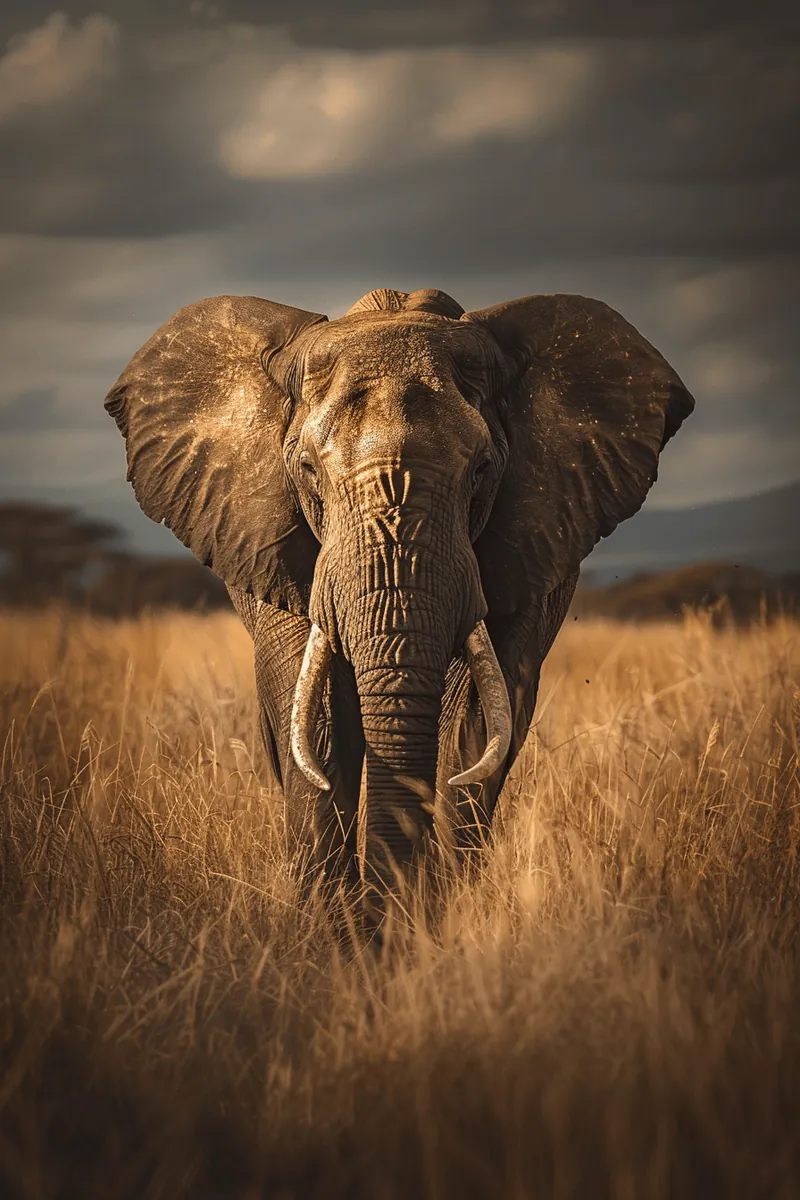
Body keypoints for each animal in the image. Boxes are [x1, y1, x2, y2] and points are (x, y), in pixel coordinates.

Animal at [104, 285, 694, 896]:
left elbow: (474, 724)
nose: (385, 904)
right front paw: (336, 922)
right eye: (308, 469)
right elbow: (317, 721)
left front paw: (431, 913)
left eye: (482, 469)